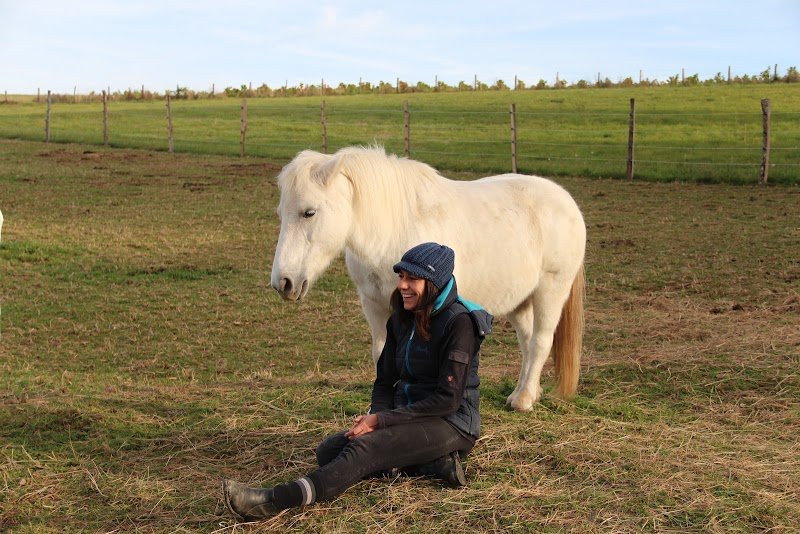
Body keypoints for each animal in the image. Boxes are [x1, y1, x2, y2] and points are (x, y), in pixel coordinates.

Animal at [270, 146, 586, 411]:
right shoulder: (375, 306)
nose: (283, 282)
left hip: (550, 291)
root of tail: (567, 202)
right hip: (519, 301)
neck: (392, 230)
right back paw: (525, 392)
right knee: (528, 342)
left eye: (309, 212)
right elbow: (383, 354)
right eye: (281, 214)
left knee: (541, 342)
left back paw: (523, 401)